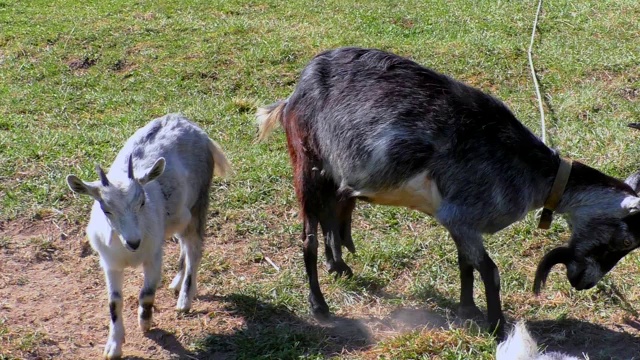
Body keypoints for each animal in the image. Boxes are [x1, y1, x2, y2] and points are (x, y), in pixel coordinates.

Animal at [258, 47, 640, 338]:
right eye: (625, 241)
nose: (584, 283)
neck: (532, 172)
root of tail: (296, 91)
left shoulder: (458, 221)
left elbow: (464, 264)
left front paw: (467, 309)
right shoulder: (462, 217)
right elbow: (489, 271)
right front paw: (497, 327)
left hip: (333, 172)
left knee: (332, 213)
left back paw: (337, 265)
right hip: (306, 161)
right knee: (307, 235)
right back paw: (320, 306)